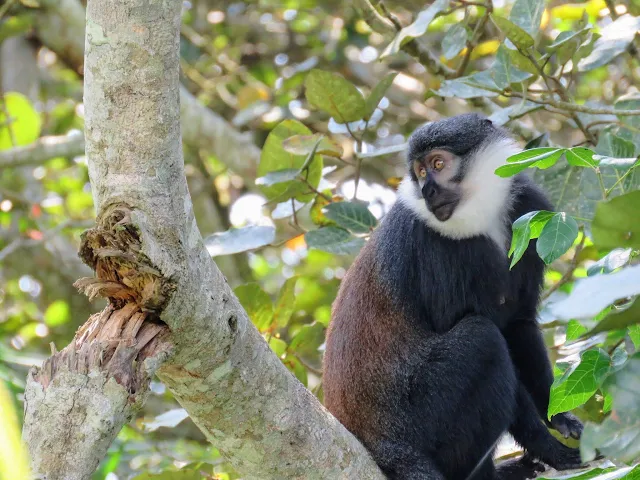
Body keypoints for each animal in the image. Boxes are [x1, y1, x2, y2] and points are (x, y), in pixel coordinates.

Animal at [324, 115, 584, 480]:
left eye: (437, 164)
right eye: (419, 172)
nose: (427, 190)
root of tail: (384, 447)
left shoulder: (531, 211)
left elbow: (518, 324)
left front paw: (560, 415)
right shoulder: (438, 248)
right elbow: (490, 331)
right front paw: (552, 449)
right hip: (420, 418)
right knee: (482, 339)